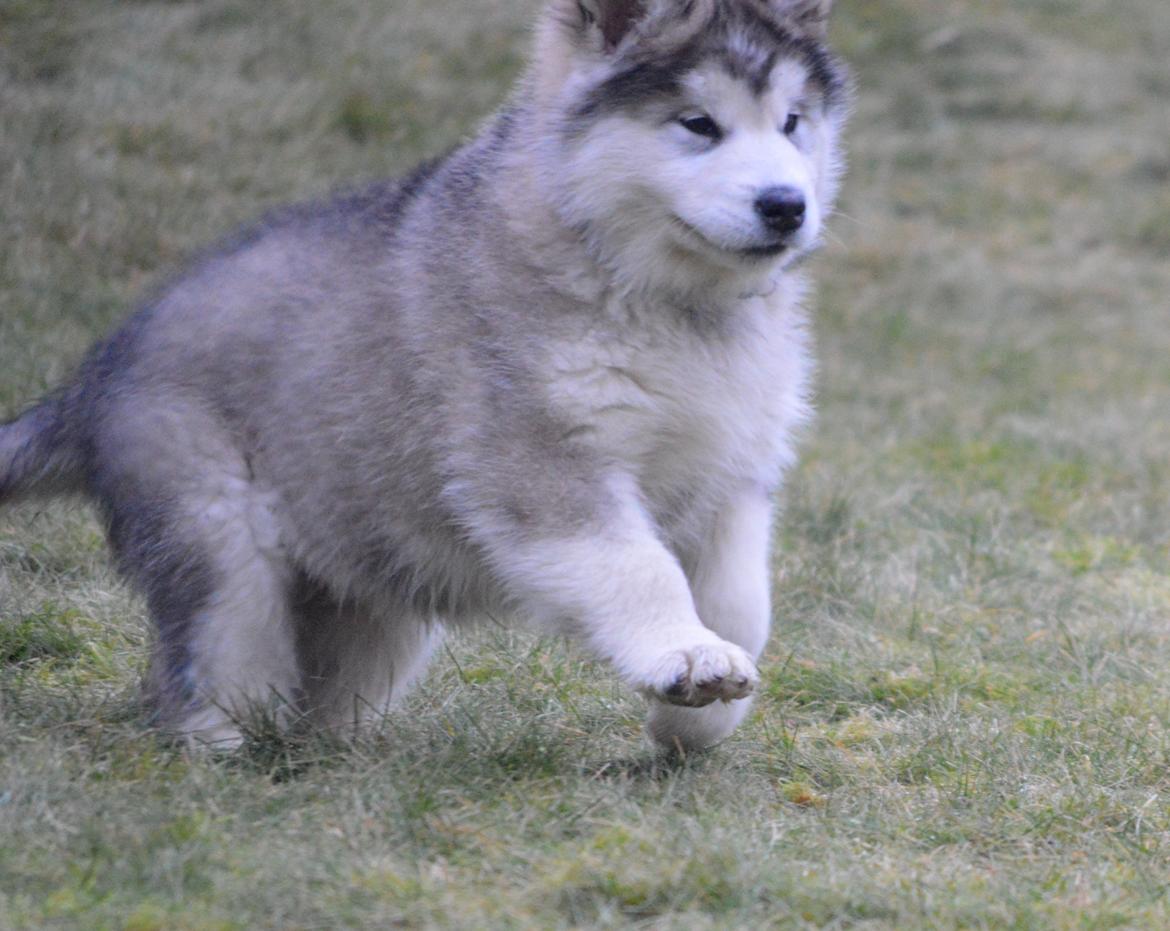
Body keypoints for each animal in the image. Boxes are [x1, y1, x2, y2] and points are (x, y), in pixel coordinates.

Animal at [0, 0, 847, 748]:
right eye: (698, 124)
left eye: (792, 122)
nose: (785, 206)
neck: (668, 302)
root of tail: (94, 376)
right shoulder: (539, 458)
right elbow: (637, 568)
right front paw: (685, 653)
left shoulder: (731, 473)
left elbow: (742, 604)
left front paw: (696, 720)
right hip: (216, 543)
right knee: (205, 679)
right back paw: (217, 762)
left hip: (370, 592)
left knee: (318, 698)